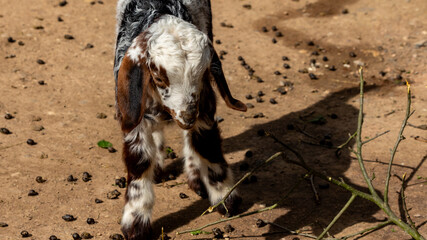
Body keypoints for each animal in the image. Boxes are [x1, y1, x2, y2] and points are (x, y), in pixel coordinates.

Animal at [113, 0, 247, 239]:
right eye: (158, 77)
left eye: (204, 74)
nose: (187, 117)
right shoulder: (135, 121)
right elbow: (139, 161)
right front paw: (136, 224)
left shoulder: (205, 108)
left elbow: (207, 146)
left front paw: (225, 198)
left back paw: (195, 175)